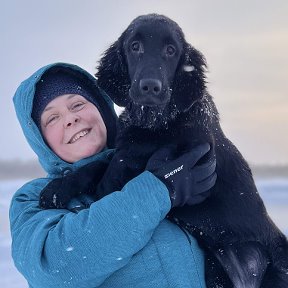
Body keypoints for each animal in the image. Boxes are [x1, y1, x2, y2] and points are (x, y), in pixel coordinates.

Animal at [40, 14, 288, 288]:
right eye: (135, 46)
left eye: (171, 50)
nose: (150, 87)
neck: (156, 121)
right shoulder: (127, 150)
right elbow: (98, 165)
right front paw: (57, 189)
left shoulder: (187, 151)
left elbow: (115, 174)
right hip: (216, 273)